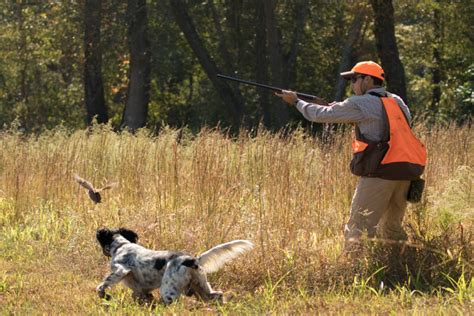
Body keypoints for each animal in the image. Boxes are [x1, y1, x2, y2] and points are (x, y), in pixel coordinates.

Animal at [94, 227, 254, 304]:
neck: (121, 245)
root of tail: (192, 259)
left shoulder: (120, 269)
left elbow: (102, 285)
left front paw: (104, 295)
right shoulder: (140, 289)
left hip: (168, 290)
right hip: (201, 288)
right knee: (217, 295)